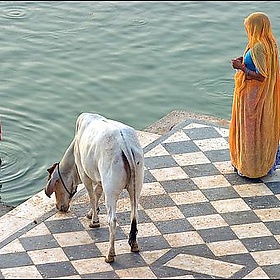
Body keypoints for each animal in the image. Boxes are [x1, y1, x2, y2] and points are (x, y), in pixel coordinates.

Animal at [45, 112, 144, 262]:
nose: (59, 207)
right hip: (136, 187)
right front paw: (92, 213)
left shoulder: (84, 173)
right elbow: (97, 193)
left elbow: (92, 196)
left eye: (56, 187)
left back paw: (110, 254)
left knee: (112, 221)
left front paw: (94, 221)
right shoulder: (100, 179)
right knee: (135, 214)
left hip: (111, 191)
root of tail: (124, 144)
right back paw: (134, 245)